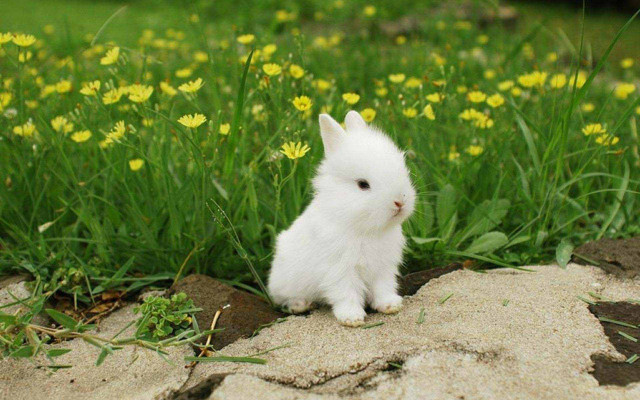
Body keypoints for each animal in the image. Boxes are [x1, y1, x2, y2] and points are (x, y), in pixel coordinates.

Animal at [268, 110, 416, 326]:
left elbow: (383, 287)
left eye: (403, 171)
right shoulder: (339, 270)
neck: (365, 229)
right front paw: (351, 318)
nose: (399, 202)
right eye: (363, 184)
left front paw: (390, 305)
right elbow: (347, 294)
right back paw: (300, 305)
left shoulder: (383, 267)